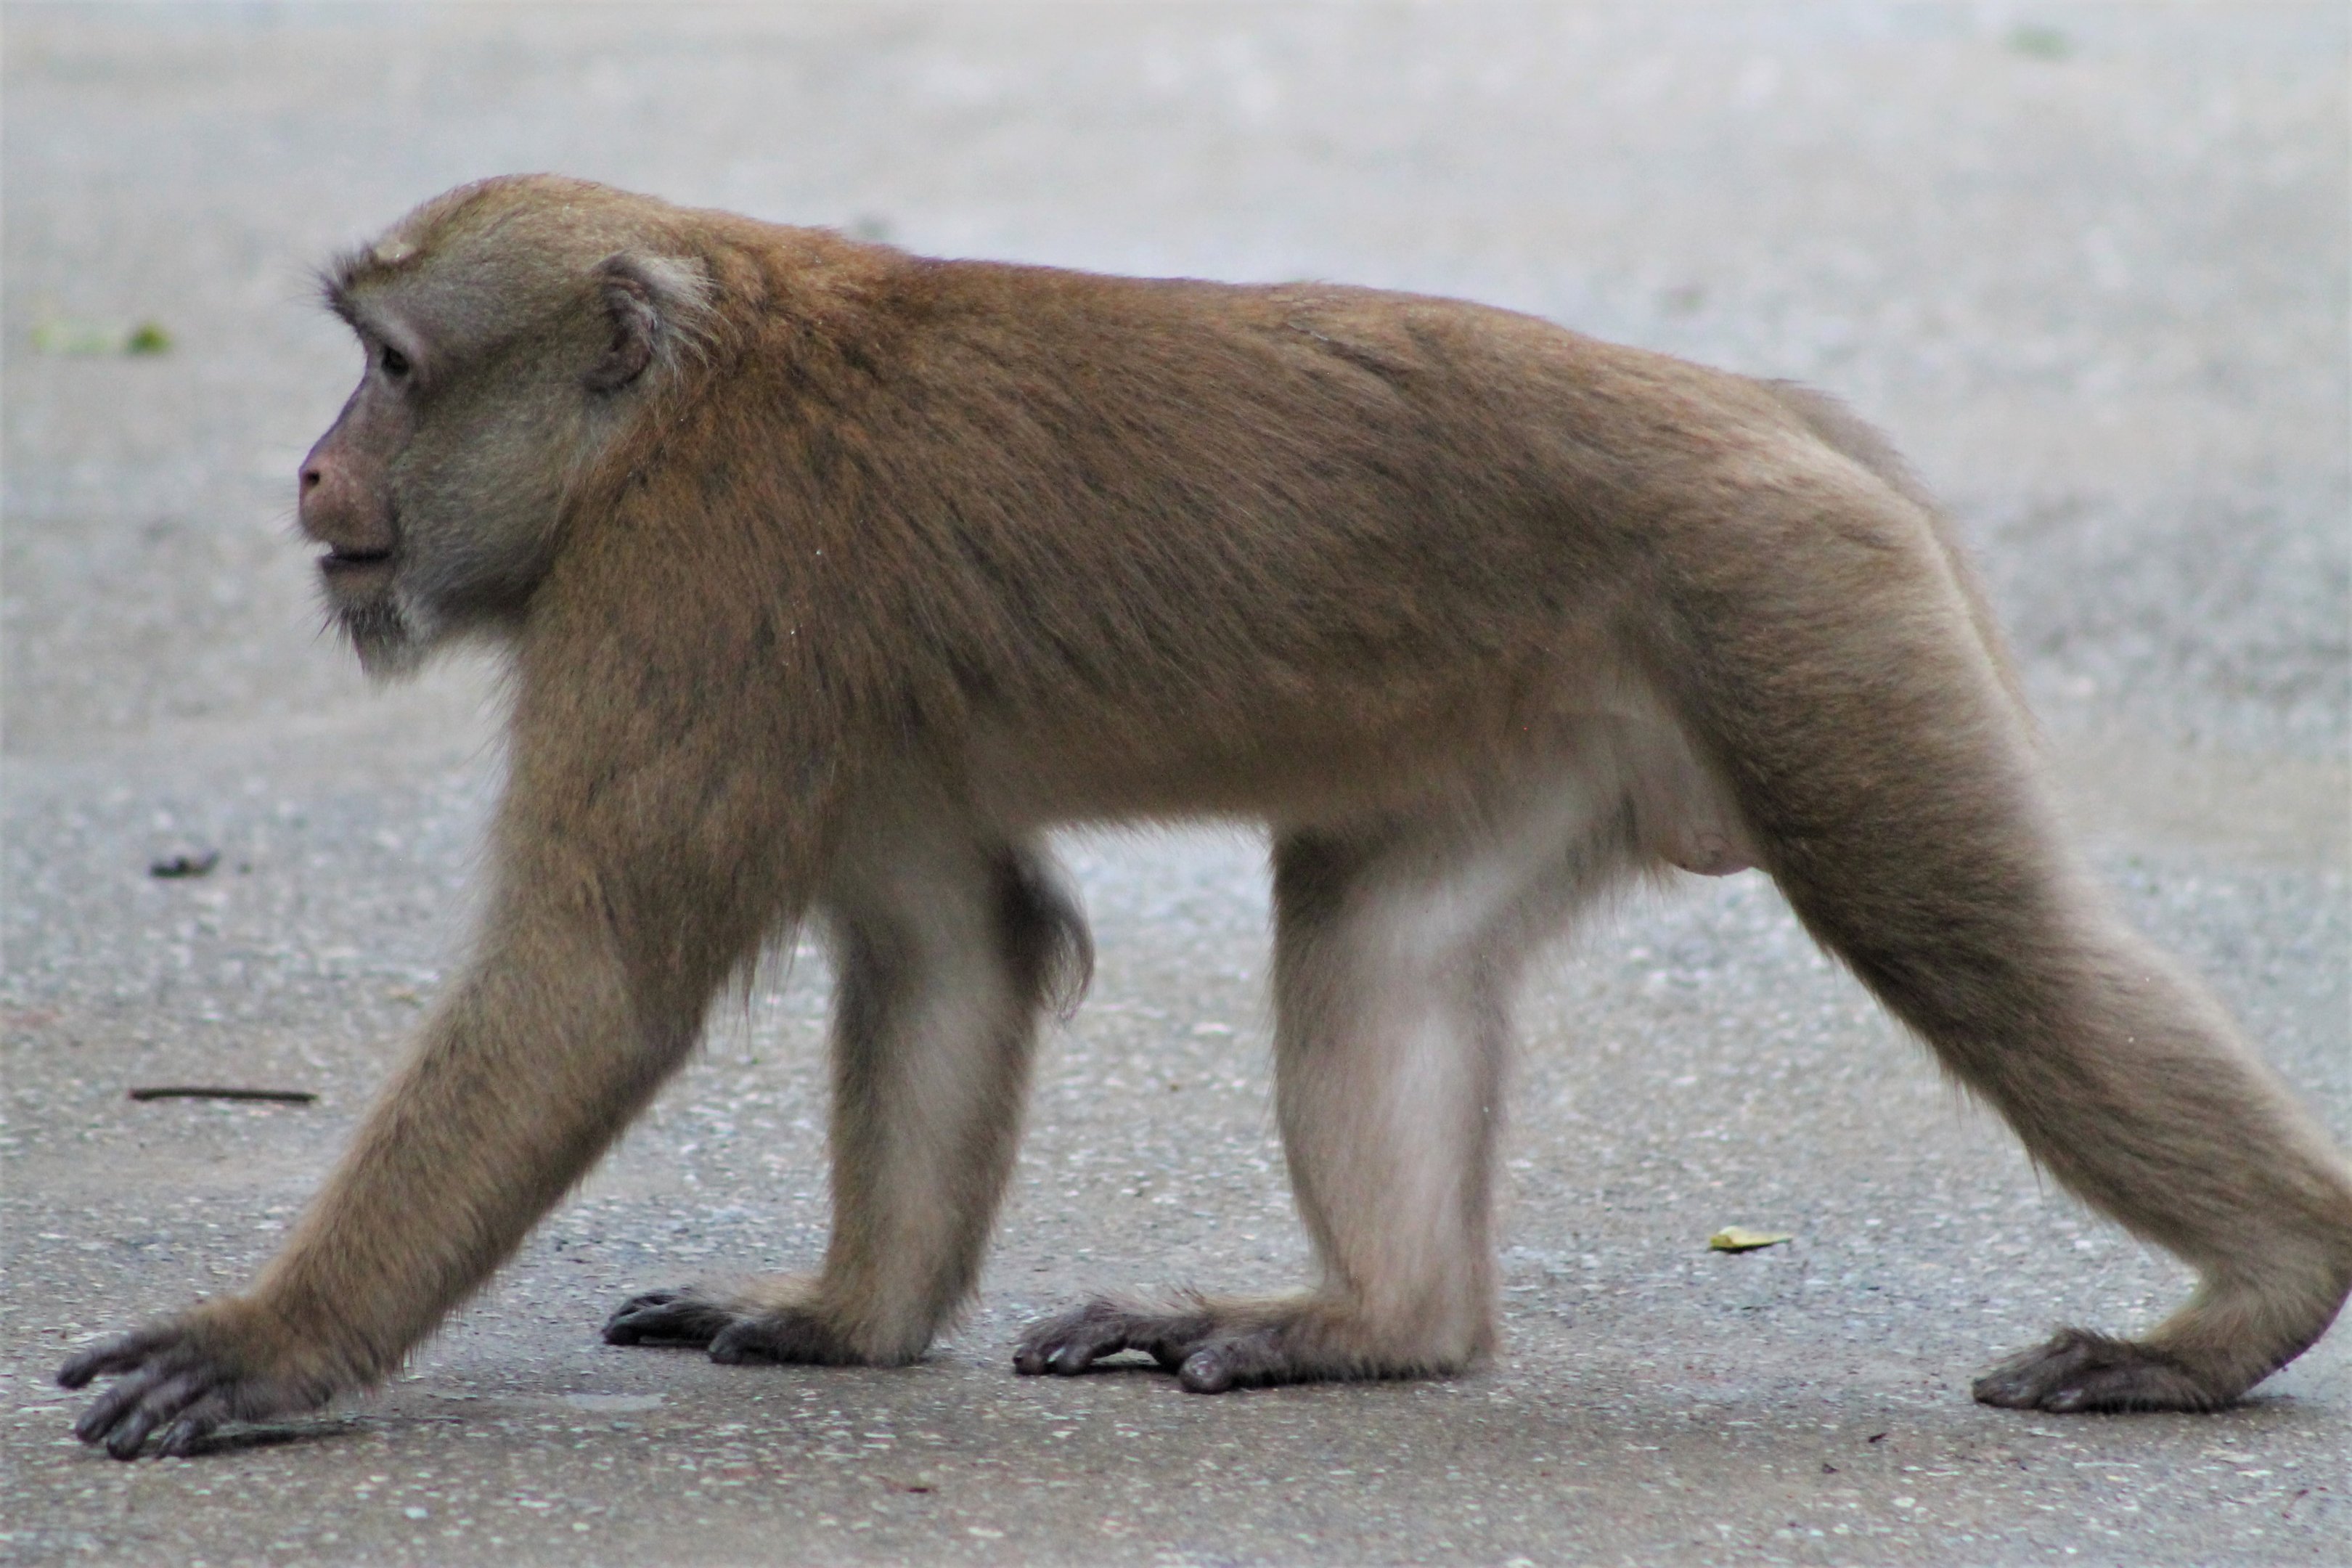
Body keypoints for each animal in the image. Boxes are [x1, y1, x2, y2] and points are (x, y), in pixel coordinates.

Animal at [59, 175, 2352, 1458]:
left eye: (390, 365)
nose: (309, 471)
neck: (673, 411)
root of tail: (1768, 408)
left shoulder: (691, 596)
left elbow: (586, 978)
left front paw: (274, 1343)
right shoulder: (817, 682)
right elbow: (954, 947)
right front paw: (843, 1317)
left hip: (1789, 617)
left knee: (1977, 944)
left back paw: (2257, 1294)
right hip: (1557, 715)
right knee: (1375, 939)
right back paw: (1379, 1327)